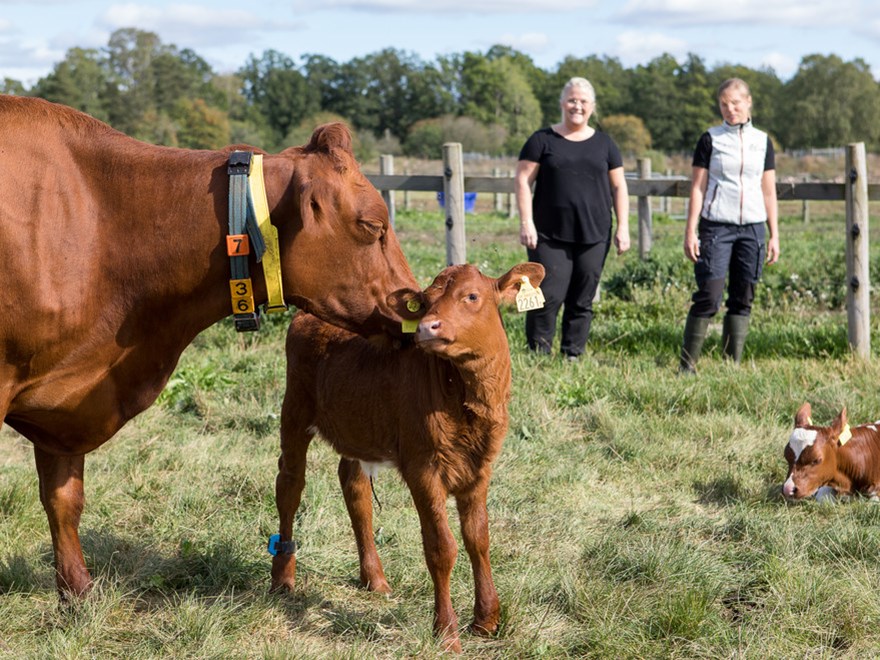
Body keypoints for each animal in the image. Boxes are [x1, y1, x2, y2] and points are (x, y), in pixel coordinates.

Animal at [270, 260, 544, 652]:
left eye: (472, 296)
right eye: (425, 302)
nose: (428, 327)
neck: (466, 398)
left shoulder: (480, 467)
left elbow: (478, 538)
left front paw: (487, 619)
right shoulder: (422, 467)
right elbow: (441, 547)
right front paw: (446, 632)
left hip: (358, 425)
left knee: (355, 490)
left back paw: (374, 578)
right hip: (294, 407)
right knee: (290, 485)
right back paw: (282, 578)